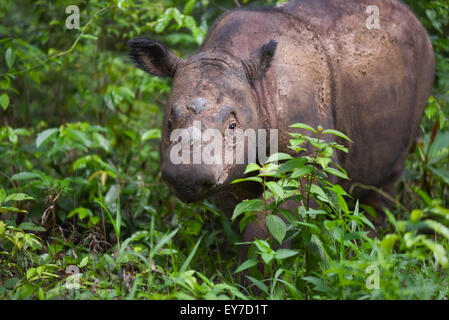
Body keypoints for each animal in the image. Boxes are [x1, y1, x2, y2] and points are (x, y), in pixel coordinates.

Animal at [129, 0, 434, 240]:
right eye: (169, 123)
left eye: (232, 126)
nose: (187, 176)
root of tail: (413, 17)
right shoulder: (234, 171)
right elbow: (246, 219)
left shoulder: (311, 163)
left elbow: (269, 224)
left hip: (423, 58)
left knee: (390, 175)